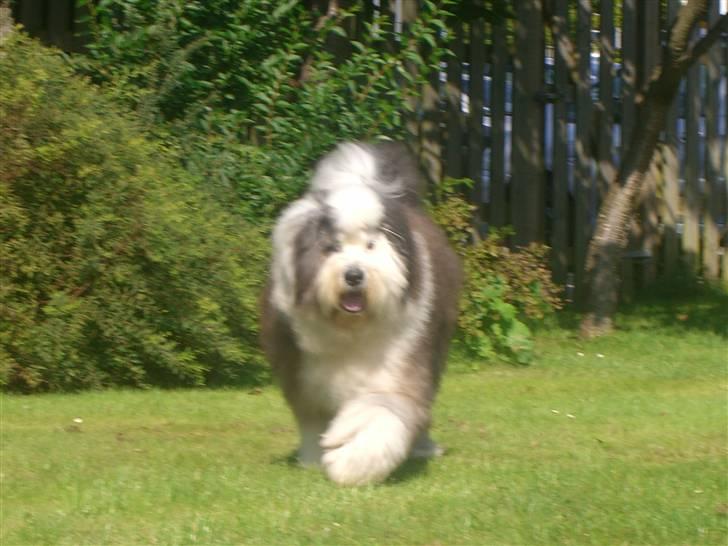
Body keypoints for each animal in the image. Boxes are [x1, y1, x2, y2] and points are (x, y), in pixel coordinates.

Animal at [260, 141, 460, 484]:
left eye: (370, 246)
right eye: (331, 248)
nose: (354, 275)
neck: (351, 329)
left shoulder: (398, 363)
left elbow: (381, 411)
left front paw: (352, 461)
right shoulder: (304, 376)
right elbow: (312, 421)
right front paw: (315, 458)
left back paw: (424, 448)